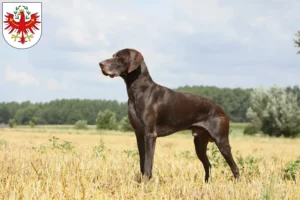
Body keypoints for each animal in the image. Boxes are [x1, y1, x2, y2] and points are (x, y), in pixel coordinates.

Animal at [99, 48, 240, 181]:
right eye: (113, 55)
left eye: (120, 57)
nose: (100, 64)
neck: (138, 91)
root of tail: (221, 109)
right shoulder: (139, 134)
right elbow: (142, 162)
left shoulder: (150, 134)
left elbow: (148, 163)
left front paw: (146, 182)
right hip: (199, 142)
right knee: (208, 165)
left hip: (221, 141)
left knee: (235, 167)